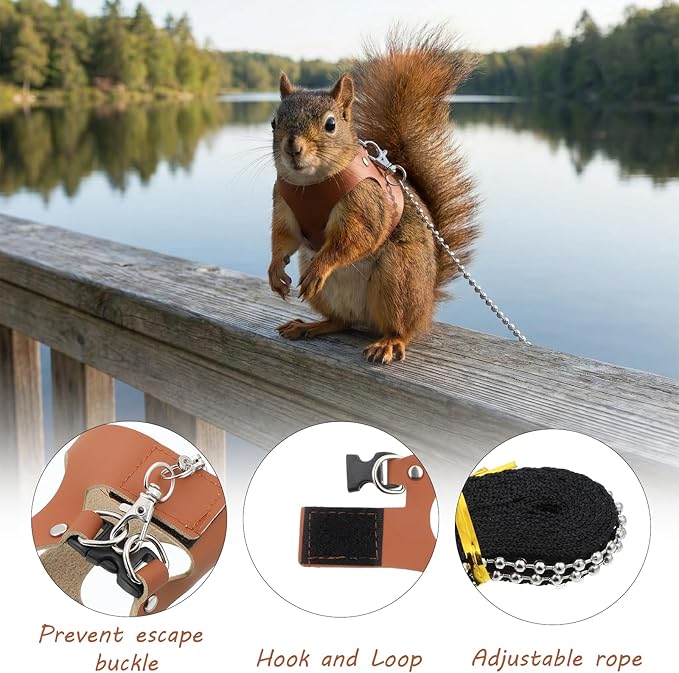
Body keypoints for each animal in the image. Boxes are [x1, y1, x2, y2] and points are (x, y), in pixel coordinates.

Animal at [268, 28, 478, 364]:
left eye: (330, 124)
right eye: (274, 122)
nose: (293, 148)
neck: (311, 183)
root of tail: (427, 304)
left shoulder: (366, 205)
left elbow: (355, 238)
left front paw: (322, 266)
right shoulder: (284, 206)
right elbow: (283, 238)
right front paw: (275, 271)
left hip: (398, 279)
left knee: (401, 328)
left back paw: (389, 342)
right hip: (336, 297)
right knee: (341, 321)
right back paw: (310, 326)